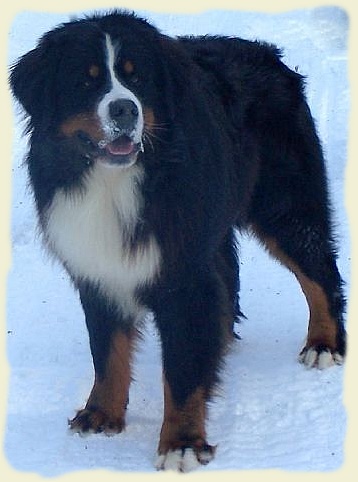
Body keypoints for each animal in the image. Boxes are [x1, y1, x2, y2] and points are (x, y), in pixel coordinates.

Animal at [9, 9, 344, 472]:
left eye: (137, 78)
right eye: (86, 81)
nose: (124, 108)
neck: (112, 183)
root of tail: (268, 53)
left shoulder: (183, 276)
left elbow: (181, 370)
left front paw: (181, 443)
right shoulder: (99, 267)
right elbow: (107, 352)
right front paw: (101, 413)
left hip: (284, 205)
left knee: (320, 270)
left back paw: (324, 344)